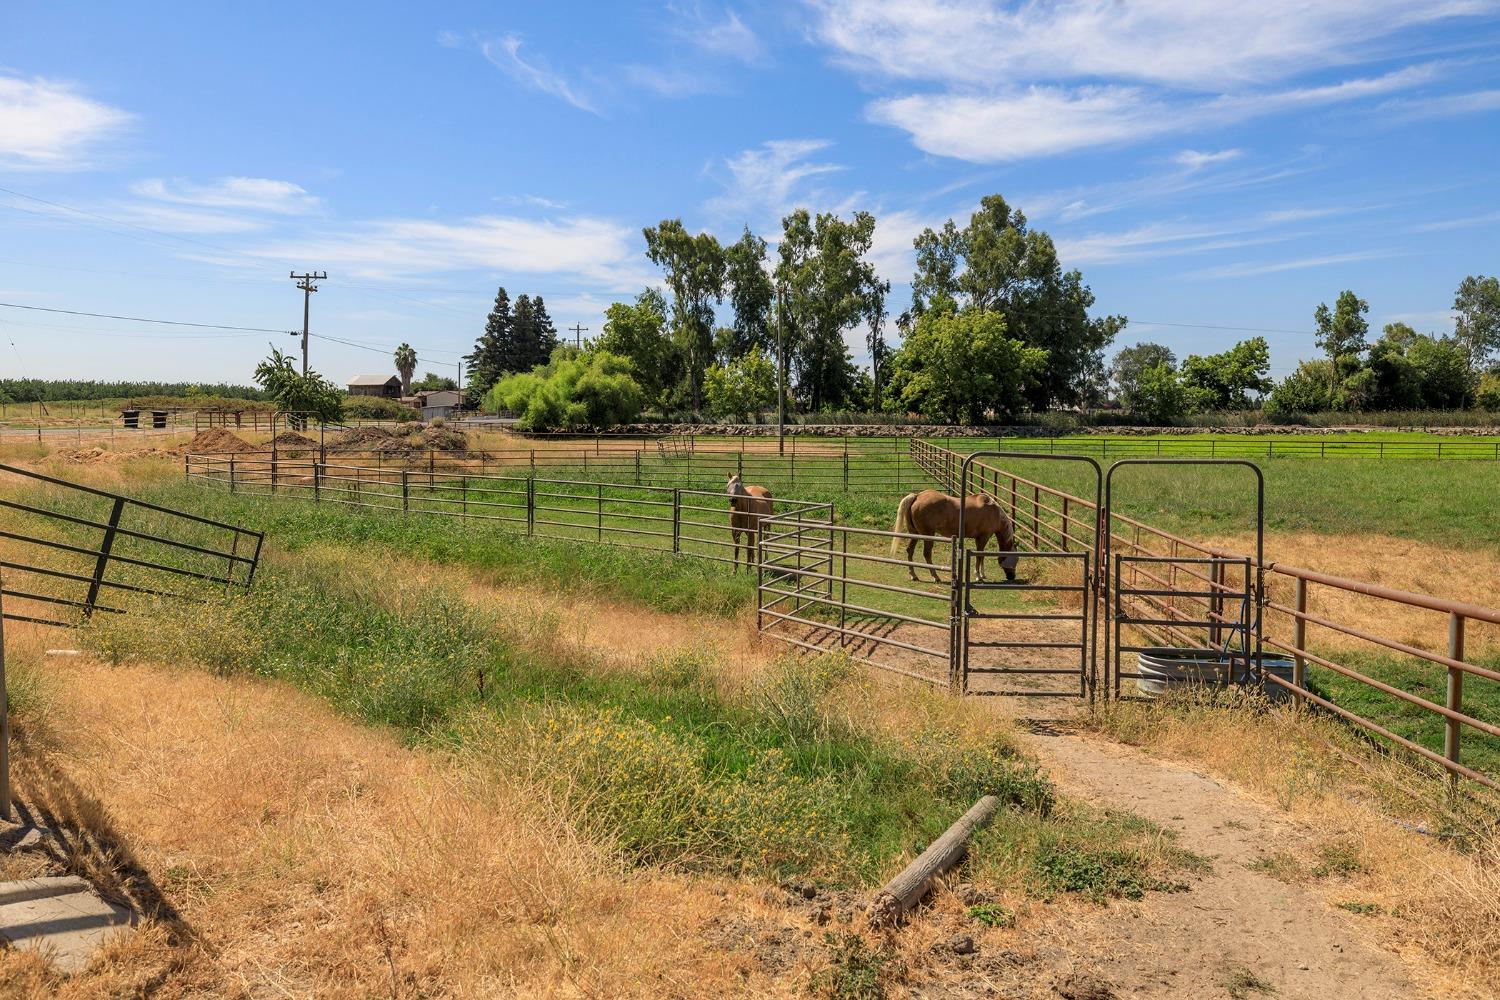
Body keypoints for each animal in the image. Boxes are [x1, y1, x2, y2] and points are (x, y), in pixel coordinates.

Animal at [888, 491, 1020, 587]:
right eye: (1016, 559)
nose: (1011, 577)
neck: (994, 511)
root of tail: (917, 496)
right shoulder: (983, 537)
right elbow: (979, 556)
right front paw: (978, 576)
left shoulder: (981, 538)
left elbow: (981, 556)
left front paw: (982, 574)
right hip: (927, 535)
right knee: (927, 553)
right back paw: (935, 576)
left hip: (915, 534)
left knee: (910, 550)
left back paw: (913, 575)